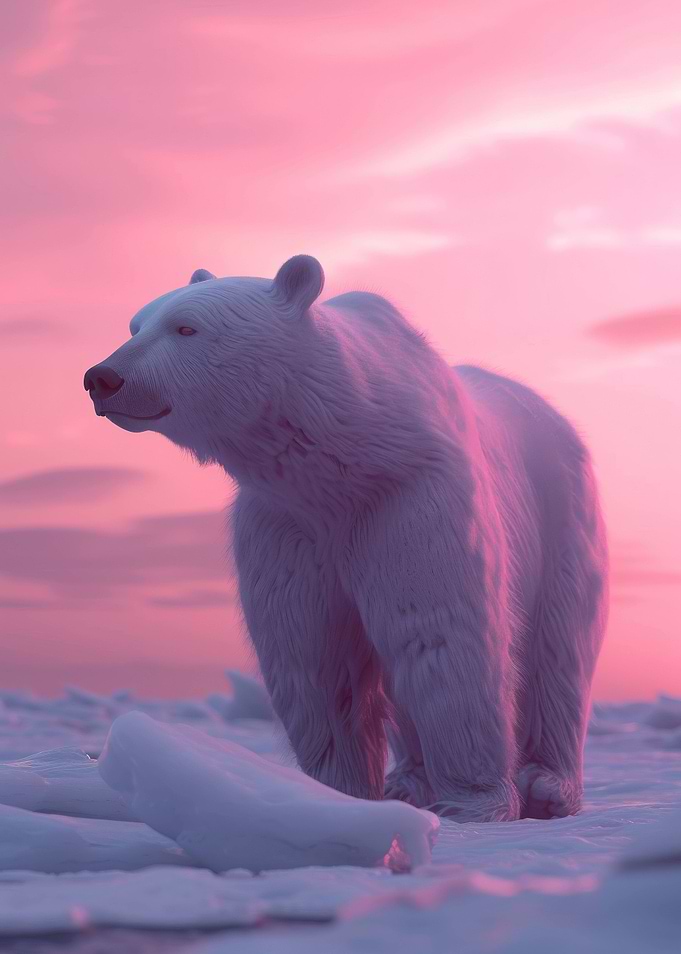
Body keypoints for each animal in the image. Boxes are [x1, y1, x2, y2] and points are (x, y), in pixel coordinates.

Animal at [84, 255, 608, 822]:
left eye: (186, 328)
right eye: (135, 326)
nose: (102, 377)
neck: (343, 461)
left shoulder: (412, 498)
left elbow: (437, 632)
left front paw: (473, 804)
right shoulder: (287, 523)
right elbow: (311, 652)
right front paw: (338, 794)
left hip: (562, 511)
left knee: (559, 647)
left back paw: (548, 784)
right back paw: (408, 781)